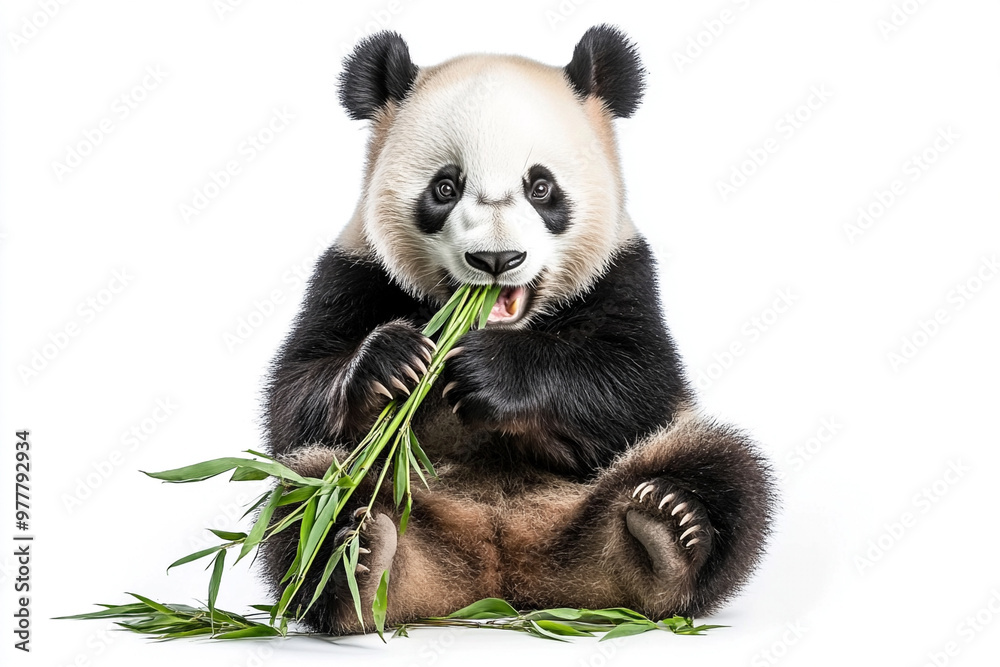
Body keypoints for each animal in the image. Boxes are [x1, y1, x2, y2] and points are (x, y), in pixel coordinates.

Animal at [261, 25, 776, 635]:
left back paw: (668, 533)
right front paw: (394, 363)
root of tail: (503, 570)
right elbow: (293, 401)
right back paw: (357, 555)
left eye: (541, 188)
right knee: (306, 493)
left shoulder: (624, 273)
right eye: (445, 187)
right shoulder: (354, 270)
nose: (496, 259)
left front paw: (489, 374)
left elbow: (637, 385)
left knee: (724, 469)